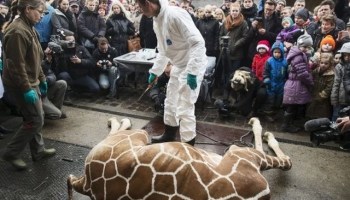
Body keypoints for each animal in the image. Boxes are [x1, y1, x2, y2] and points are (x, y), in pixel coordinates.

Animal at [67, 116, 292, 199]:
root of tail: (87, 184)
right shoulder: (242, 154)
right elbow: (286, 160)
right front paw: (261, 127)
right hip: (139, 136)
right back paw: (118, 119)